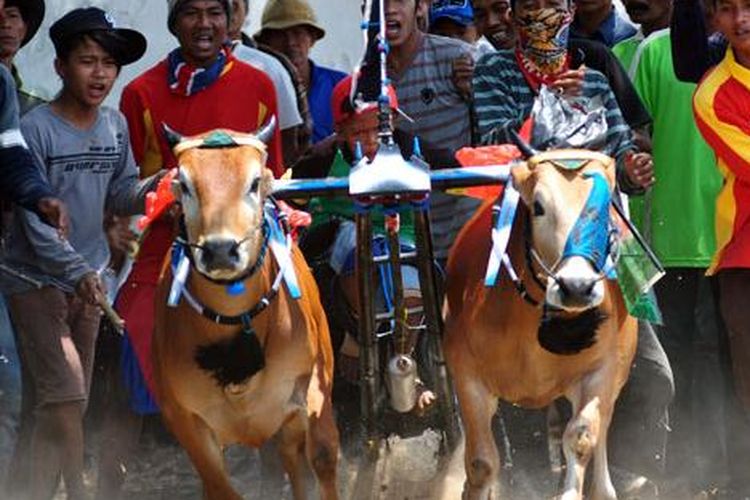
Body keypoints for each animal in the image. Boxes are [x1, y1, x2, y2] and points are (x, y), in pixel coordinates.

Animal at [153, 122, 340, 500]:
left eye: (254, 182)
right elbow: (220, 486)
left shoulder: (313, 379)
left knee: (294, 460)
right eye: (186, 185)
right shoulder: (183, 417)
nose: (220, 250)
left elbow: (324, 455)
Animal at [446, 149, 640, 500]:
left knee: (602, 429)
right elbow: (481, 463)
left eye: (606, 205)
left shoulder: (601, 371)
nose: (576, 286)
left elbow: (581, 438)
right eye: (538, 206)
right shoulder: (467, 376)